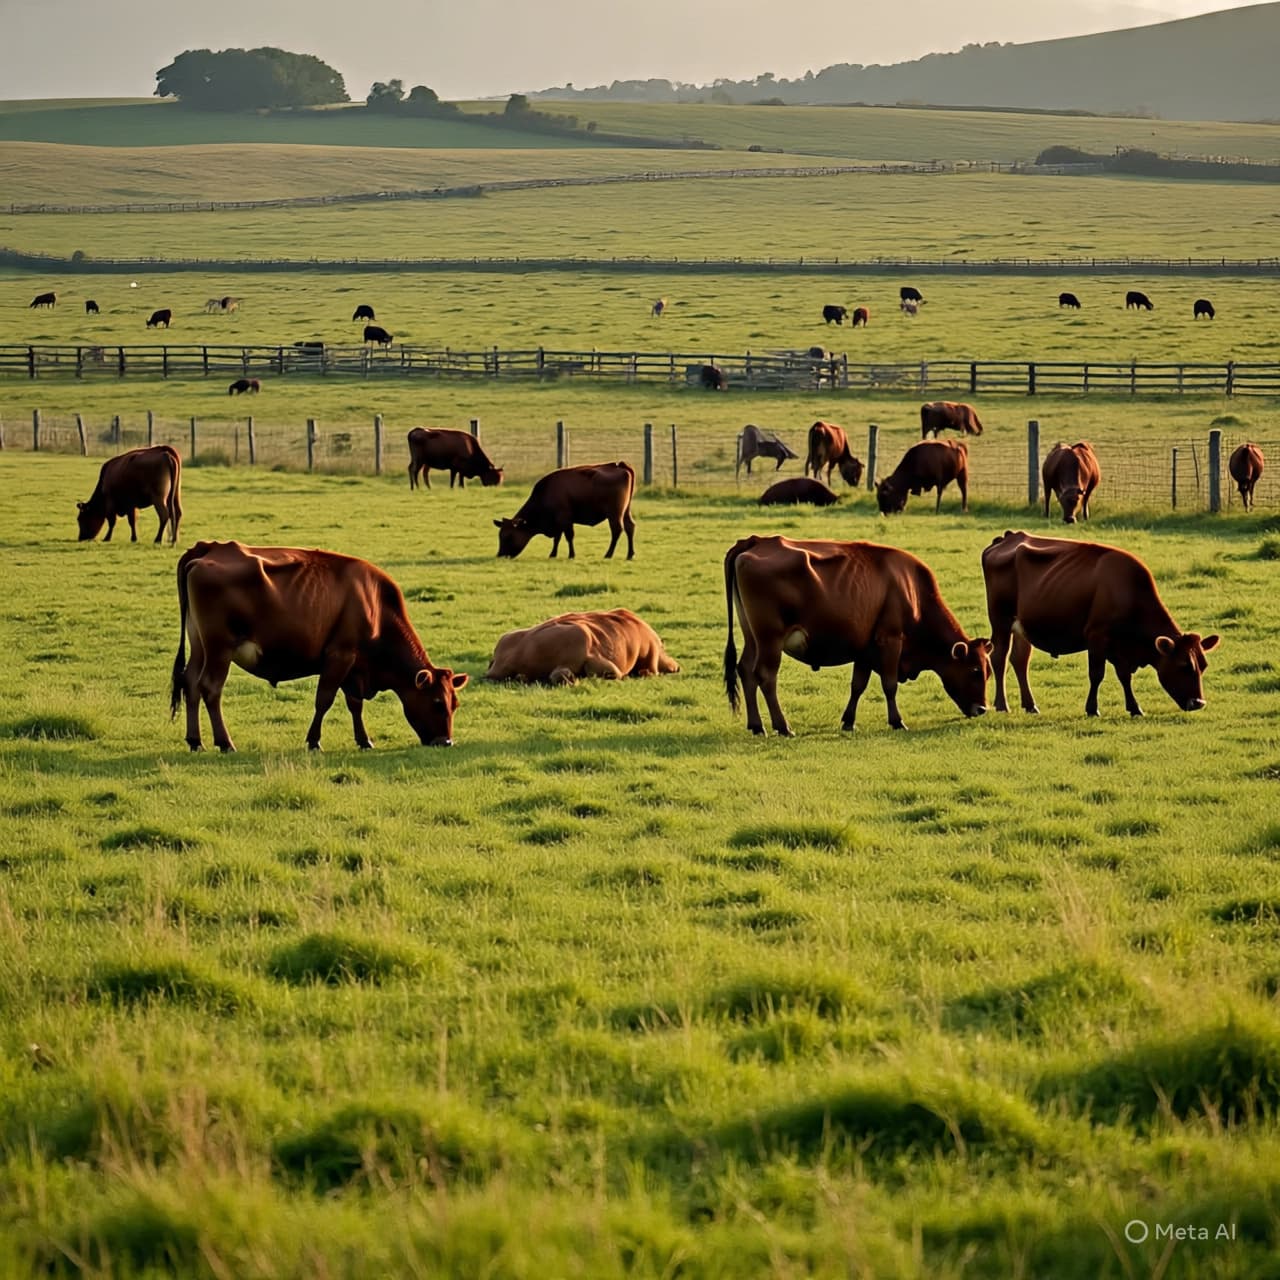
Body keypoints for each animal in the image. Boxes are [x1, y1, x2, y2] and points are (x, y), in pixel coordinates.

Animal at [169, 541, 468, 752]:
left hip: (199, 645)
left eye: (455, 704)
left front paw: (364, 740)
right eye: (437, 703)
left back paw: (195, 740)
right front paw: (314, 741)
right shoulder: (340, 655)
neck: (375, 604)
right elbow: (324, 699)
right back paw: (225, 742)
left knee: (191, 683)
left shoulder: (354, 666)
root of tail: (208, 548)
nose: (446, 742)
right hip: (219, 648)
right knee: (210, 688)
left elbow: (354, 703)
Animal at [495, 461, 636, 560]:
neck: (546, 494)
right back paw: (630, 555)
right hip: (626, 512)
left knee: (617, 531)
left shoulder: (565, 519)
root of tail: (619, 465)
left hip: (615, 514)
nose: (500, 555)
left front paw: (571, 555)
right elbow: (557, 538)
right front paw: (553, 554)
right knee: (630, 527)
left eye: (509, 536)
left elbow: (569, 537)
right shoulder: (558, 522)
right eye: (500, 535)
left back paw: (608, 554)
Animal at [723, 535, 991, 736]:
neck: (912, 591)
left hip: (752, 636)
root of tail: (756, 541)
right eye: (975, 671)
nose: (983, 709)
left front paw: (849, 721)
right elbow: (889, 684)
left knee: (746, 670)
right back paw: (782, 726)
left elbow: (858, 685)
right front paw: (897, 721)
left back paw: (757, 726)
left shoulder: (865, 647)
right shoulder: (890, 639)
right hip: (770, 638)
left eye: (988, 672)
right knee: (766, 676)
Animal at [982, 530, 1219, 718]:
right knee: (999, 657)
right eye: (1183, 665)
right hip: (1001, 620)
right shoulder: (1097, 636)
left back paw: (1030, 705)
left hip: (1022, 626)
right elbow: (1097, 674)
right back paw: (1002, 705)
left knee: (1020, 660)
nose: (1199, 703)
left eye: (1203, 665)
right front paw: (1092, 709)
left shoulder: (1119, 646)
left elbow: (1124, 676)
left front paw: (1135, 708)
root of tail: (1008, 537)